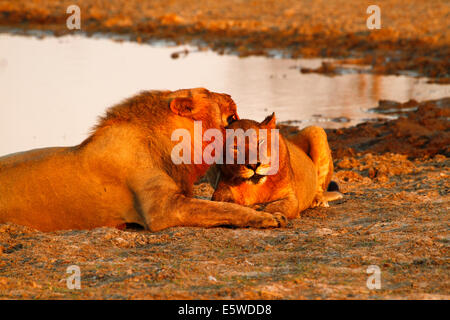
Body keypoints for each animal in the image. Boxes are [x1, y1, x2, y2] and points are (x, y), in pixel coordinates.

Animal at [211, 113, 342, 220]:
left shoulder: (290, 198)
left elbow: (275, 208)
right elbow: (230, 203)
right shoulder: (219, 192)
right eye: (235, 148)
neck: (256, 187)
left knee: (319, 187)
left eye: (260, 142)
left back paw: (318, 200)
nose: (254, 165)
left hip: (315, 130)